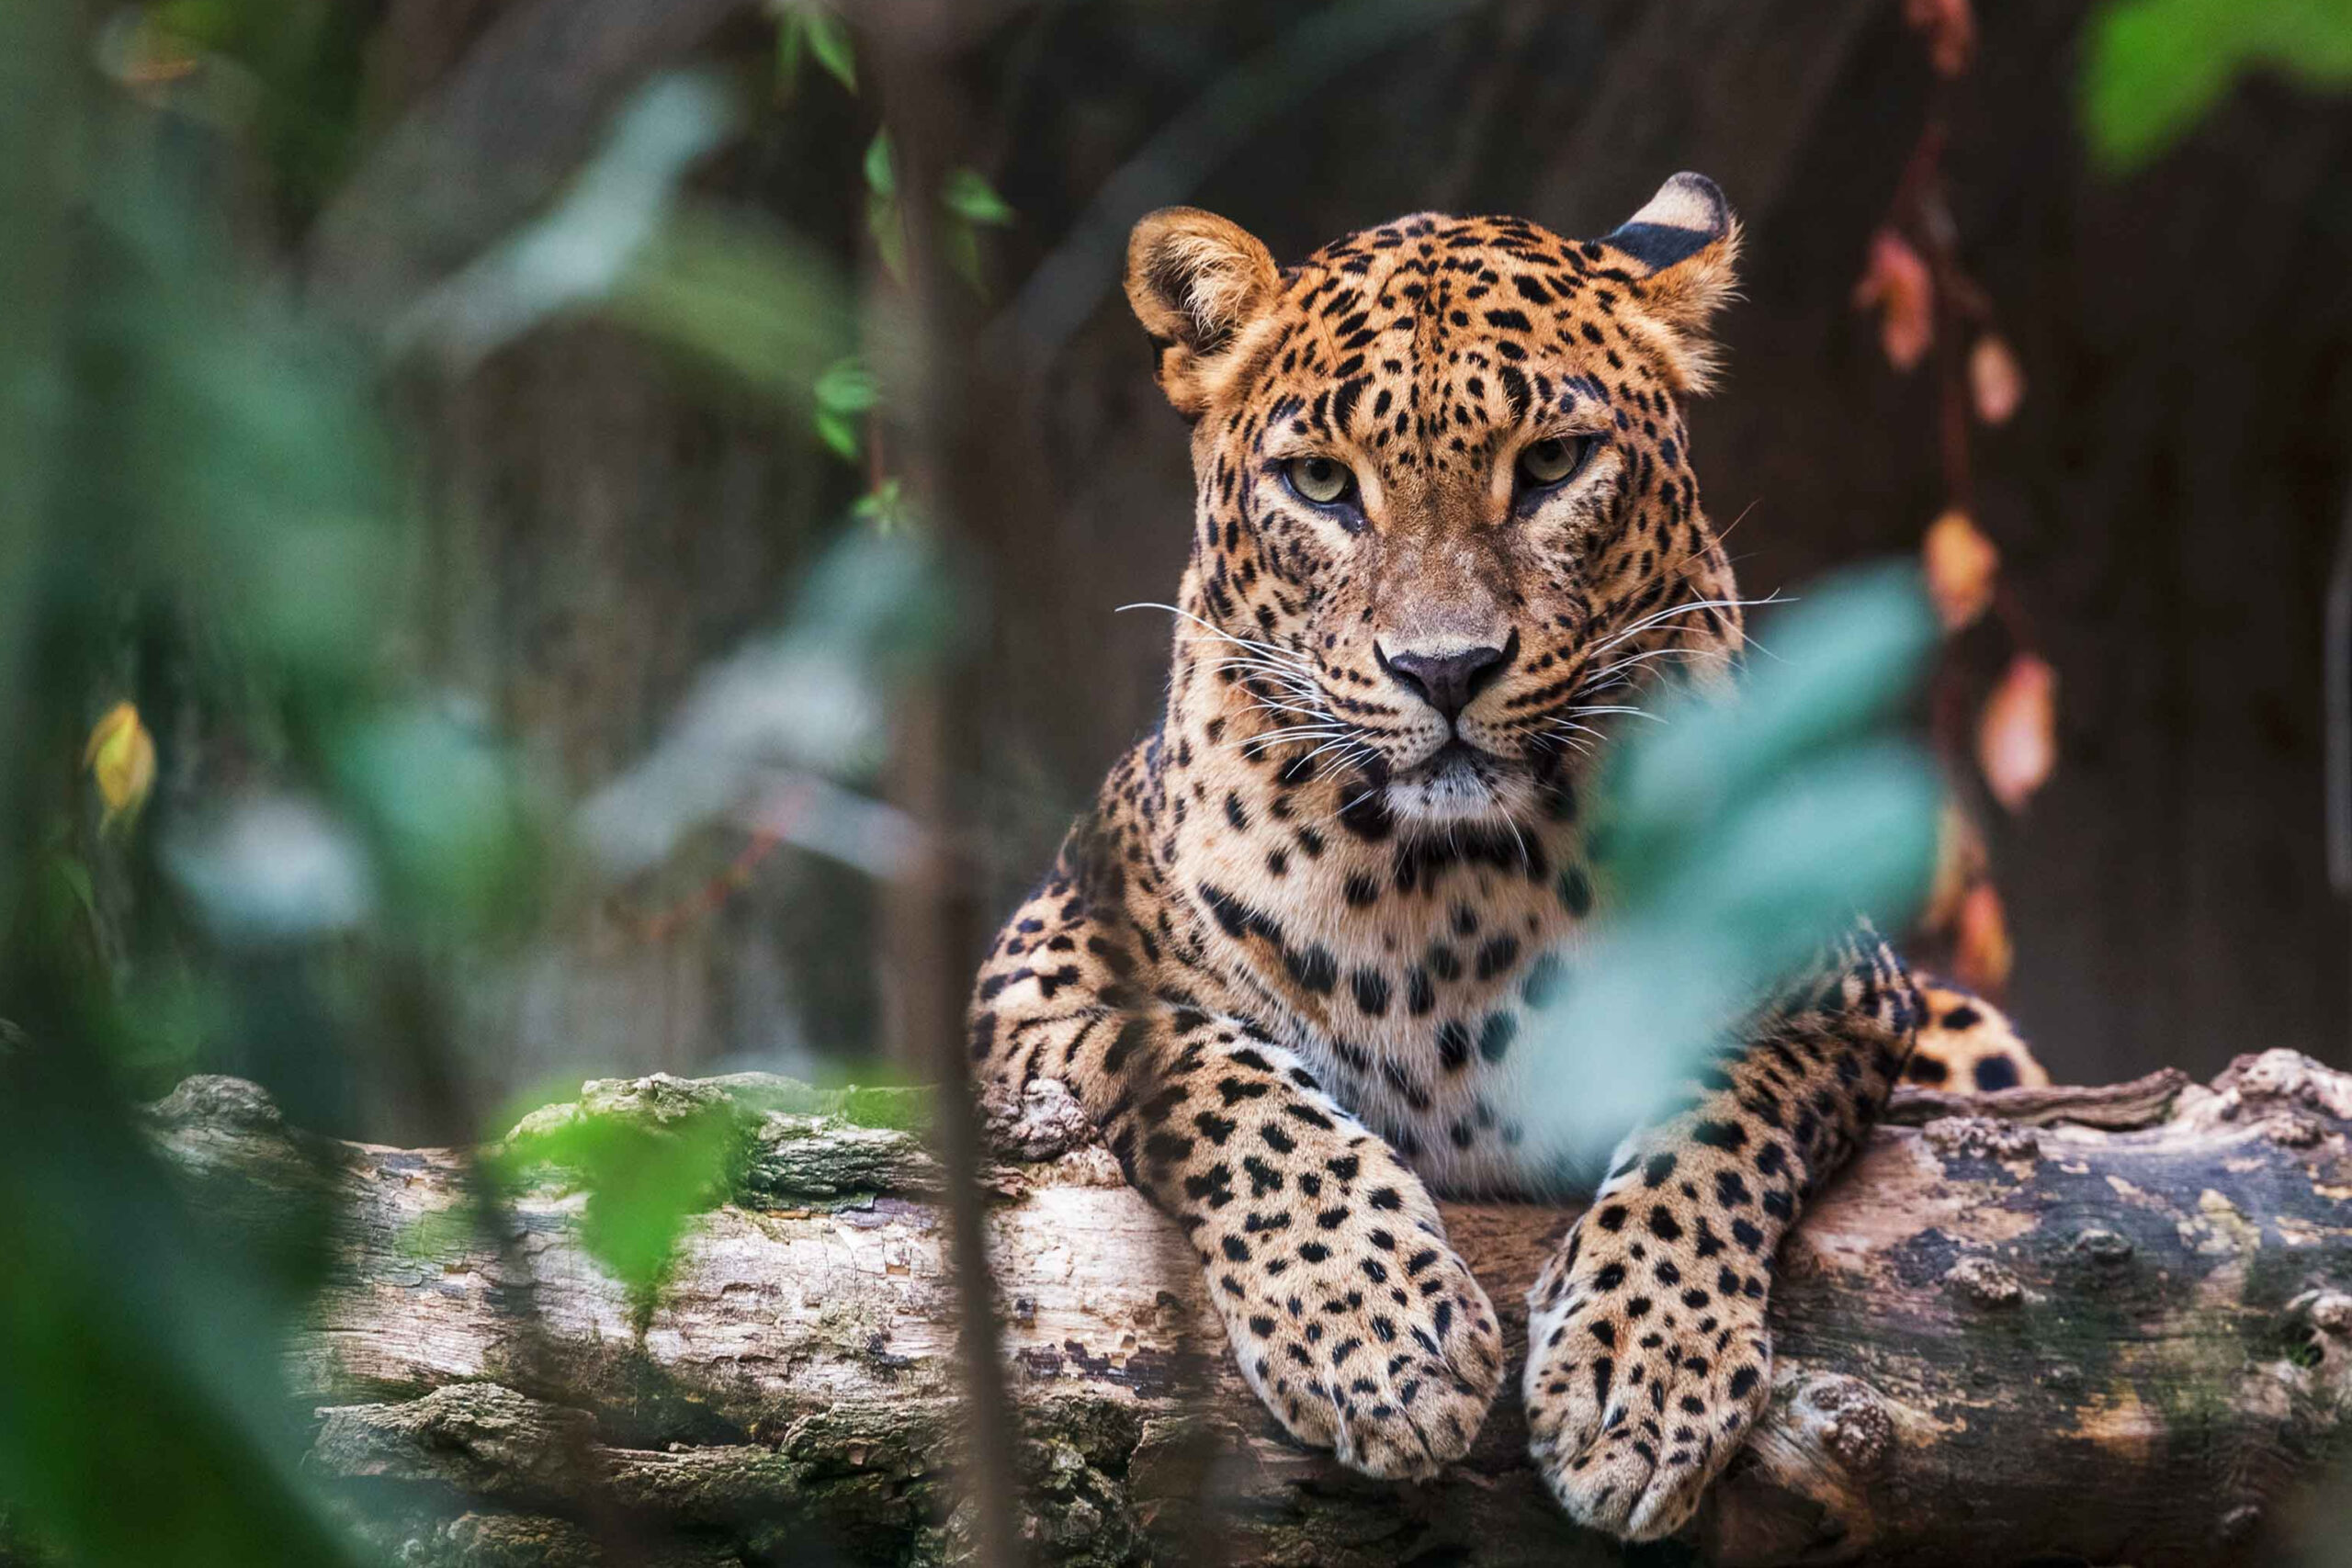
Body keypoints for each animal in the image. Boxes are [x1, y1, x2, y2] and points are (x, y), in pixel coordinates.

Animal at [967, 172, 2041, 1542]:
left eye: (1552, 464)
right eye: (1320, 482)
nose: (1445, 669)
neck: (1450, 886)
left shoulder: (1842, 992)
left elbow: (1714, 1119)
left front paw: (1641, 1375)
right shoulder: (1031, 987)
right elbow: (1226, 1081)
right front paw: (1375, 1334)